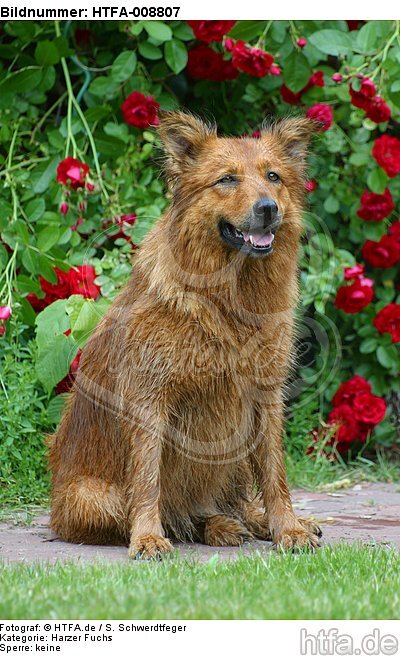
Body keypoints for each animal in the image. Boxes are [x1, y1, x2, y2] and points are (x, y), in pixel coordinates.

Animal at [49, 111, 322, 559]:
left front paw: (288, 528)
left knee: (232, 503)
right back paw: (210, 526)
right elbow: (148, 480)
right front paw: (147, 537)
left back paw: (253, 522)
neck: (229, 298)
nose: (268, 208)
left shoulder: (266, 394)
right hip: (91, 497)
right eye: (227, 179)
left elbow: (275, 472)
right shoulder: (149, 400)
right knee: (176, 515)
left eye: (274, 176)